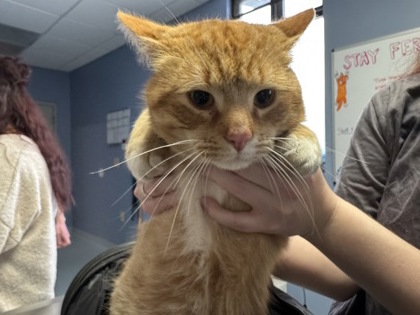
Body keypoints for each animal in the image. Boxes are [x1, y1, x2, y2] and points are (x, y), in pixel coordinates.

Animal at [110, 8, 320, 314]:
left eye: (265, 96)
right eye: (200, 98)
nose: (240, 137)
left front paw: (304, 142)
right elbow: (146, 118)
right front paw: (145, 143)